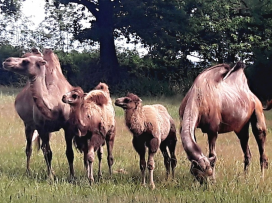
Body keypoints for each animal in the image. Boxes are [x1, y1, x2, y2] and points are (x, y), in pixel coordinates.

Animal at [1, 48, 75, 179]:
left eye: (25, 61)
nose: (7, 61)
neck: (55, 105)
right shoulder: (42, 128)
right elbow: (48, 153)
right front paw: (50, 177)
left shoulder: (68, 126)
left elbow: (69, 153)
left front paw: (72, 177)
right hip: (28, 125)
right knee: (29, 148)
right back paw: (28, 171)